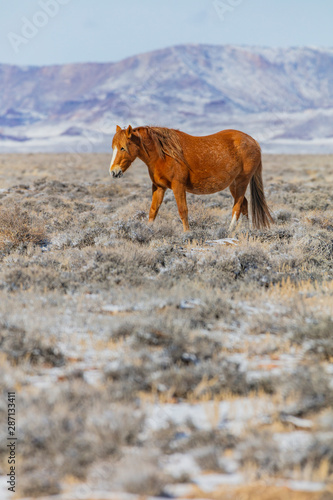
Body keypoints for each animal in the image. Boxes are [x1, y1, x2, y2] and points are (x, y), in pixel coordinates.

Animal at [109, 126, 272, 233]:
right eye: (113, 147)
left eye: (123, 148)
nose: (114, 172)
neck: (164, 154)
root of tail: (254, 142)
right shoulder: (159, 187)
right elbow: (153, 210)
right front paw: (148, 230)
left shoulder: (178, 186)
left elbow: (183, 210)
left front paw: (187, 233)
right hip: (233, 184)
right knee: (244, 204)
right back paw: (245, 230)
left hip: (242, 181)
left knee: (237, 206)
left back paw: (230, 230)